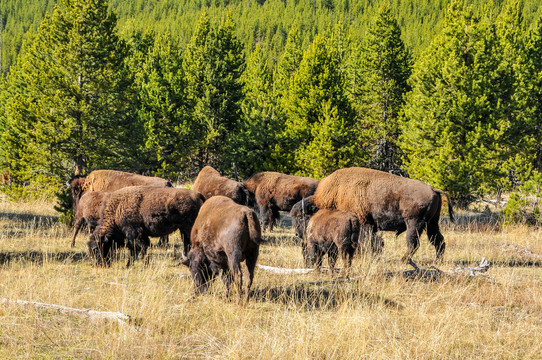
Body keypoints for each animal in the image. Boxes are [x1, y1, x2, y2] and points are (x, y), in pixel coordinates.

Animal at [314, 167, 454, 262]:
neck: (337, 192)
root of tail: (432, 189)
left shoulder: (363, 223)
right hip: (432, 223)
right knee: (438, 240)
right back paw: (437, 260)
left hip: (414, 223)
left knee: (414, 242)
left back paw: (403, 260)